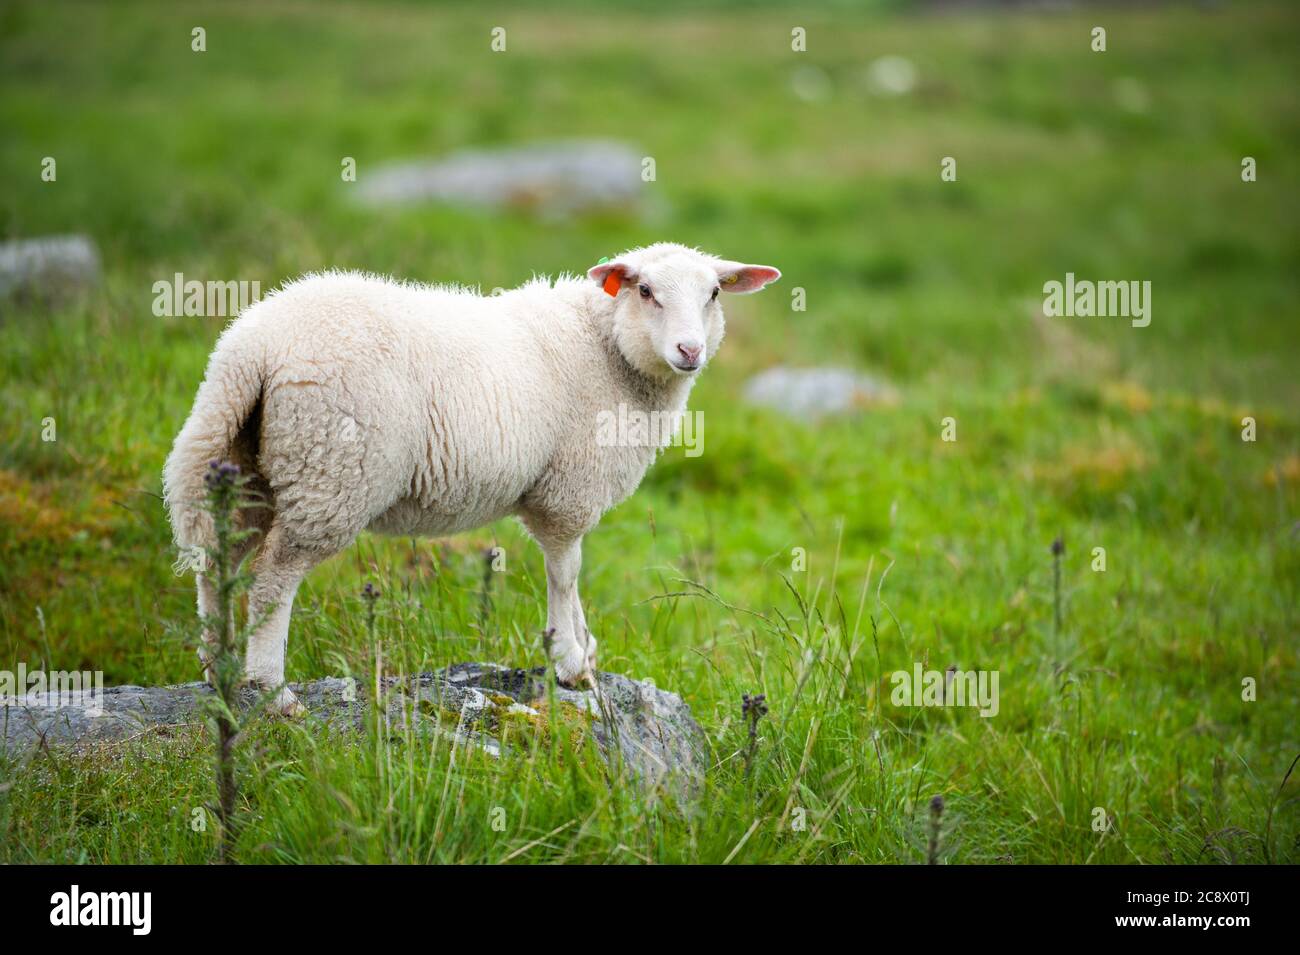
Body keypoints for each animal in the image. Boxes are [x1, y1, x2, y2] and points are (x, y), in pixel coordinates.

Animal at [157, 242, 774, 712]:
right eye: (644, 290)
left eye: (714, 294)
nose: (690, 350)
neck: (605, 348)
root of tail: (252, 350)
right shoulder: (567, 493)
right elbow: (565, 573)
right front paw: (571, 663)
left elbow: (571, 578)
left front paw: (585, 648)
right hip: (330, 471)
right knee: (272, 580)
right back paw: (274, 691)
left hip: (245, 463)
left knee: (217, 563)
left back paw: (218, 671)